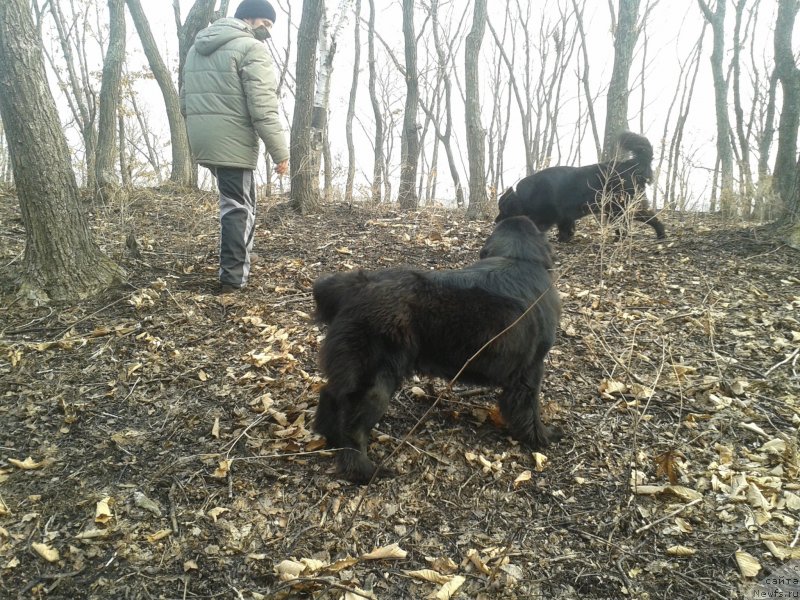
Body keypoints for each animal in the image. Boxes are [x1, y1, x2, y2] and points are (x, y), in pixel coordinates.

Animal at [312, 216, 564, 482]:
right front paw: (542, 437)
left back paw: (330, 438)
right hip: (375, 382)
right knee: (354, 426)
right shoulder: (531, 370)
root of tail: (356, 286)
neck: (518, 258)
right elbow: (530, 408)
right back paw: (364, 471)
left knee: (330, 394)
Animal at [496, 132, 664, 240]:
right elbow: (566, 227)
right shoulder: (565, 216)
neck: (525, 197)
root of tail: (631, 166)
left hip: (621, 207)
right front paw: (566, 237)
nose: (495, 221)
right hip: (616, 209)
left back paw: (658, 235)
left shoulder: (551, 215)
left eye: (502, 209)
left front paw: (561, 239)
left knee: (649, 218)